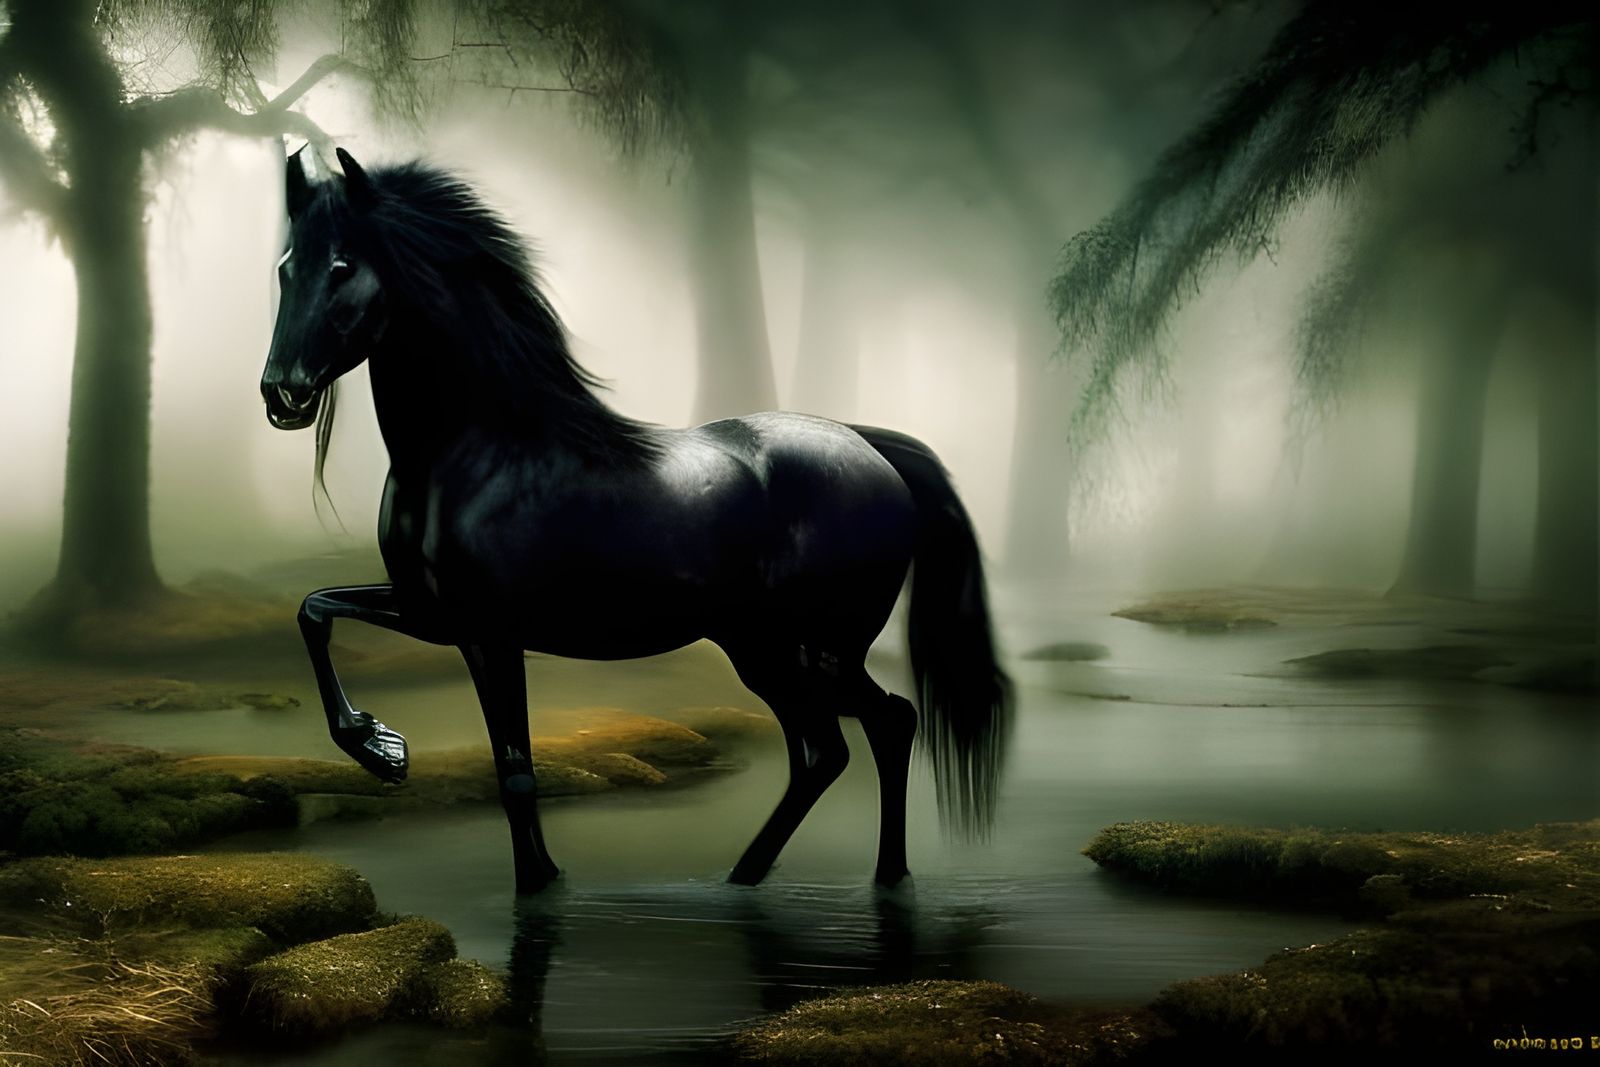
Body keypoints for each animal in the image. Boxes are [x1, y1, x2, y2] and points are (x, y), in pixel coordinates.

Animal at [259, 146, 1012, 893]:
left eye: (343, 267)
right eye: (286, 267)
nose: (281, 394)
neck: (483, 454)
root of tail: (872, 449)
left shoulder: (491, 633)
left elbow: (516, 772)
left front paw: (536, 881)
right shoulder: (432, 613)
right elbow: (314, 609)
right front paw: (382, 749)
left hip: (819, 649)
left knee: (883, 724)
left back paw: (857, 877)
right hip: (763, 648)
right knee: (833, 747)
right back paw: (772, 874)